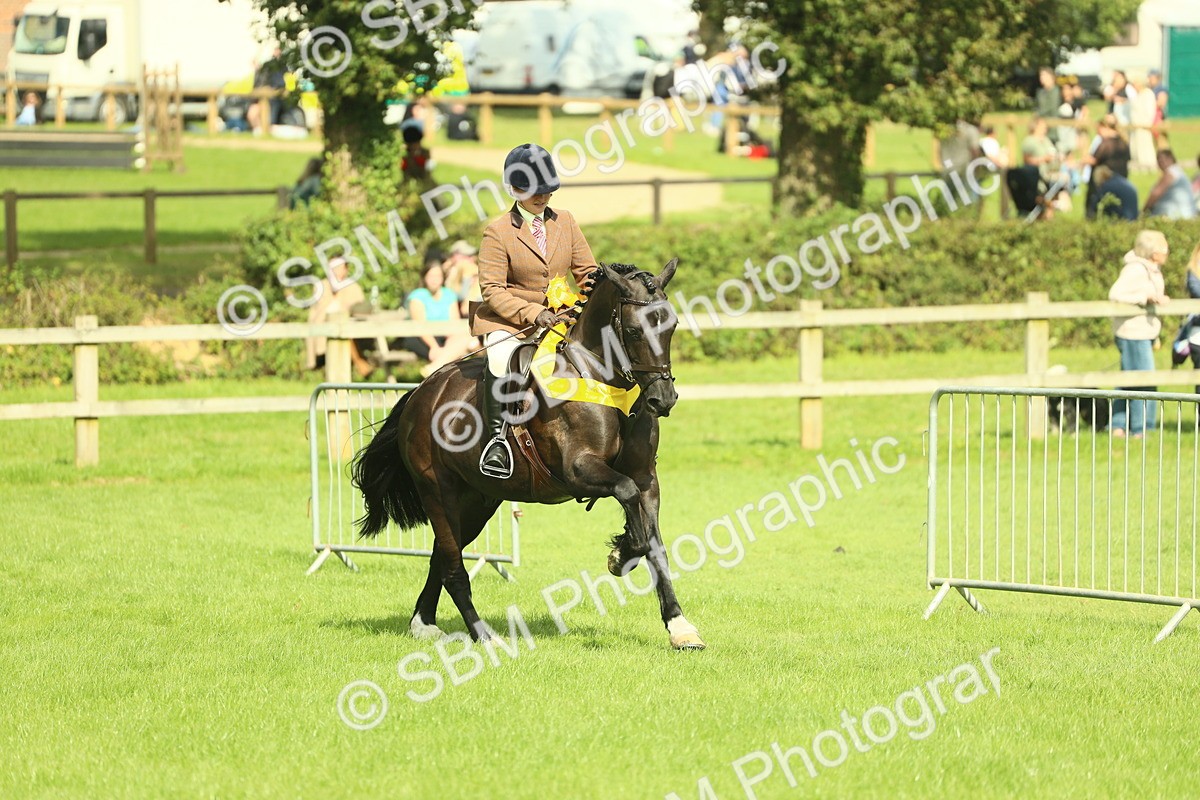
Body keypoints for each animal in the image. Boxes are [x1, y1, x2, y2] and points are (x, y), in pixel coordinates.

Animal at [351, 258, 706, 650]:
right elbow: (628, 503)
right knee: (453, 567)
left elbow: (655, 544)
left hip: (477, 501)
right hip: (437, 492)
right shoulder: (578, 470)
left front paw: (679, 626)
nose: (663, 400)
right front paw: (623, 553)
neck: (605, 384)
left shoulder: (646, 479)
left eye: (672, 325)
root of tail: (420, 392)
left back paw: (423, 623)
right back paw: (484, 636)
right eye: (633, 330)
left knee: (442, 556)